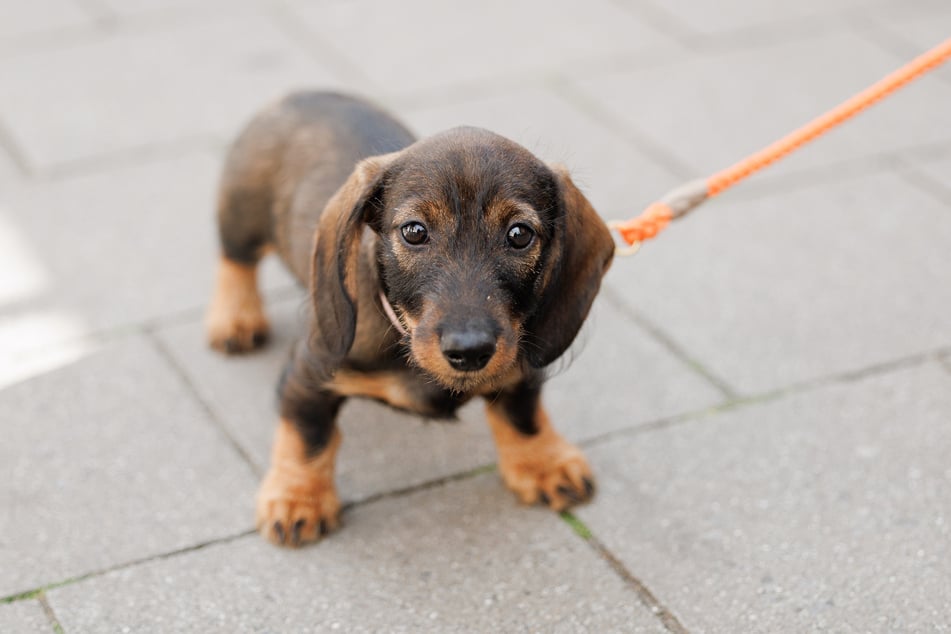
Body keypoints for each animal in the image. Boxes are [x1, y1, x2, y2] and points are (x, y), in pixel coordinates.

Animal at [205, 90, 612, 544]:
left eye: (520, 234)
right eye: (414, 231)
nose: (469, 351)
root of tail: (302, 95)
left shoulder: (519, 361)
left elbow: (523, 414)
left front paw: (543, 461)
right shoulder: (308, 373)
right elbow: (308, 436)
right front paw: (298, 498)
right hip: (241, 215)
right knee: (235, 261)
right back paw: (235, 317)